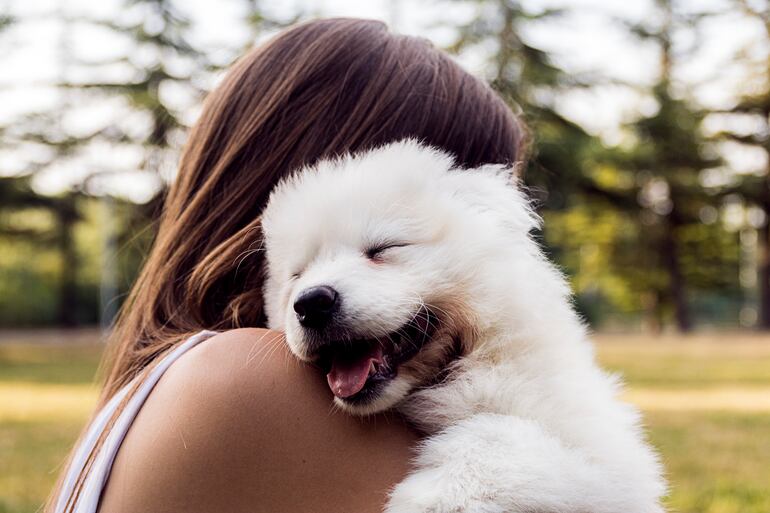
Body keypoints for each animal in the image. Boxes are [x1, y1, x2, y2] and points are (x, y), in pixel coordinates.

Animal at [260, 140, 664, 512]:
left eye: (383, 248)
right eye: (296, 275)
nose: (311, 303)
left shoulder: (608, 461)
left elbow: (495, 430)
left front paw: (434, 498)